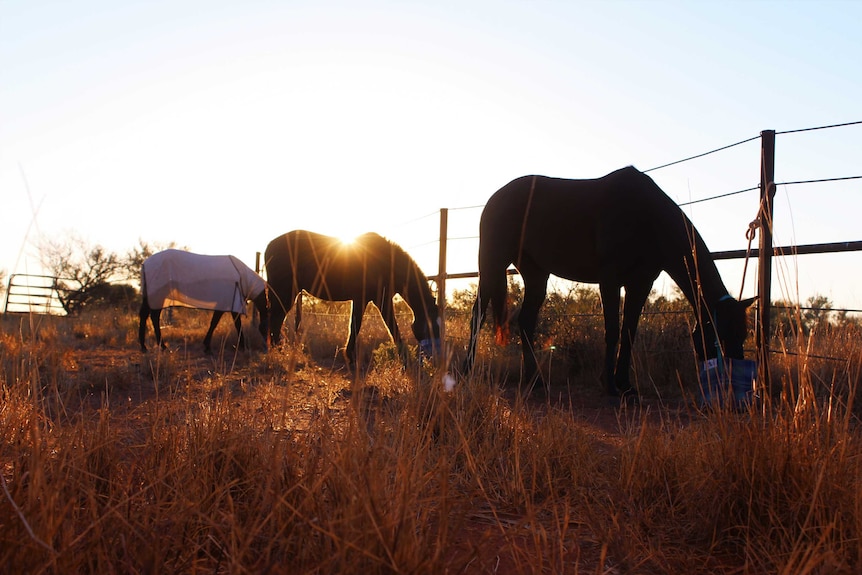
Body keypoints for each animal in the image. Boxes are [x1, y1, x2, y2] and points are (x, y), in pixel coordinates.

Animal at [264, 228, 442, 364]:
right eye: (432, 326)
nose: (435, 356)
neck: (386, 263)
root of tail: (269, 246)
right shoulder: (374, 300)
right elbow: (383, 326)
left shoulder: (369, 300)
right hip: (285, 293)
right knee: (274, 318)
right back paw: (277, 352)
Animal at [466, 169, 756, 398]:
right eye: (721, 334)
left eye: (742, 334)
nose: (735, 378)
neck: (648, 217)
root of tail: (496, 197)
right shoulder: (610, 279)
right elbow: (613, 330)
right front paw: (610, 386)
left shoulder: (640, 283)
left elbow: (629, 332)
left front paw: (625, 384)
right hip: (492, 264)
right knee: (478, 315)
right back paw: (467, 370)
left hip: (536, 274)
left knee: (525, 321)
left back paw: (536, 380)